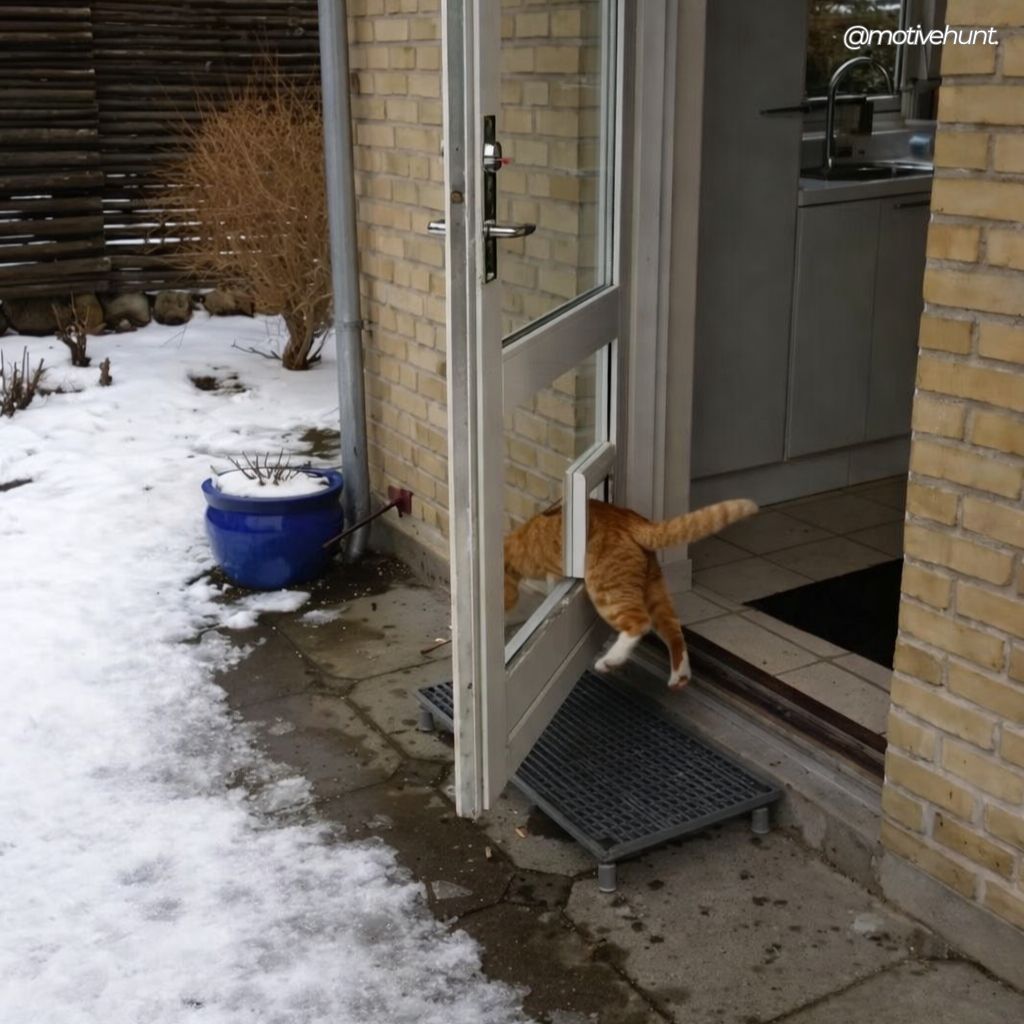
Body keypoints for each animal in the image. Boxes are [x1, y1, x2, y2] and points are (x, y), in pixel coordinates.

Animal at [504, 498, 758, 689]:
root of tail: (630, 518)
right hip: (654, 590)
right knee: (673, 630)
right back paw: (680, 676)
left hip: (606, 591)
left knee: (639, 623)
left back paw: (609, 661)